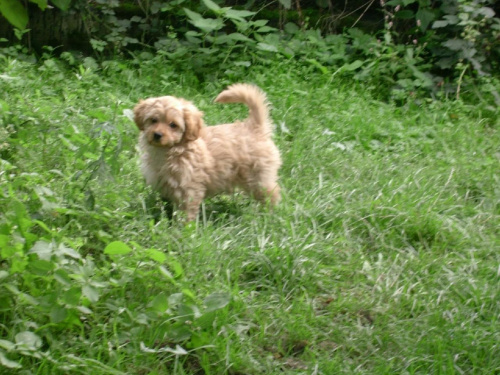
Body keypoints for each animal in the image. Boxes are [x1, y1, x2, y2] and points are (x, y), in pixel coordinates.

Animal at [133, 83, 282, 222]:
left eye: (173, 125)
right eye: (153, 120)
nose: (157, 135)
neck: (168, 151)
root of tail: (254, 127)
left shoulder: (189, 189)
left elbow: (186, 212)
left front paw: (183, 228)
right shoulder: (164, 185)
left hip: (259, 178)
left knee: (271, 195)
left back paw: (270, 216)